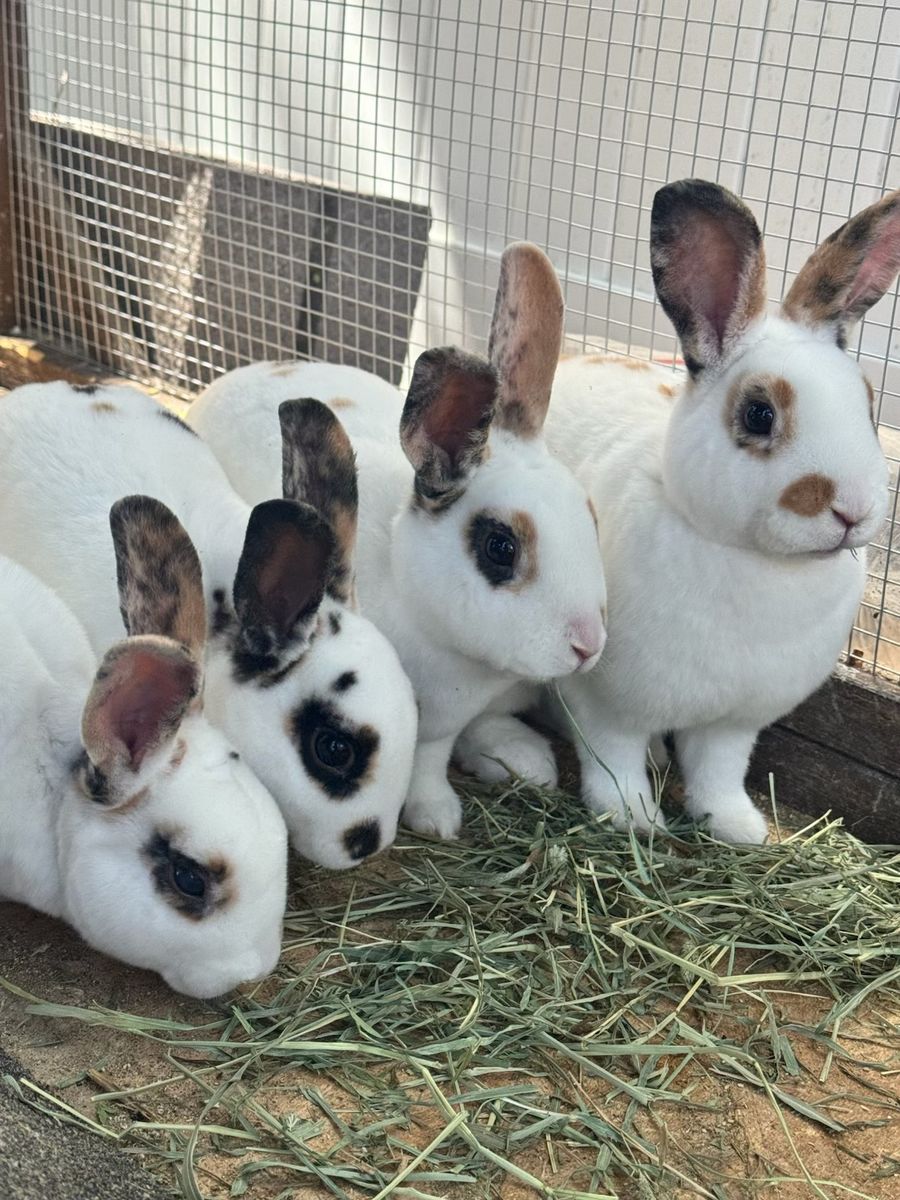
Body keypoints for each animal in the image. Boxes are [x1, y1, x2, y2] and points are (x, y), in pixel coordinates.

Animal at [187, 242, 609, 839]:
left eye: (589, 516)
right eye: (501, 547)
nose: (588, 645)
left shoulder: (439, 726)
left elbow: (431, 758)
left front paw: (447, 805)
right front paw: (435, 818)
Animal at [458, 179, 897, 842]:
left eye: (868, 403)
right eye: (759, 415)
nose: (853, 509)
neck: (758, 562)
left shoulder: (733, 724)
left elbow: (718, 773)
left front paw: (738, 828)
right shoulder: (607, 702)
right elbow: (613, 762)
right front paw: (635, 820)